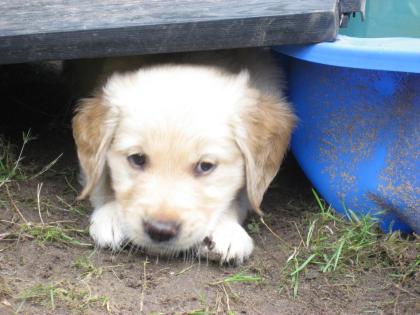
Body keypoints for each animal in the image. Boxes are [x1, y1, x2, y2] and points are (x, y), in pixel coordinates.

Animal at [71, 49, 296, 266]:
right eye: (137, 159)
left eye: (205, 166)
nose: (160, 230)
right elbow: (97, 178)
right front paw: (111, 215)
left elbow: (245, 195)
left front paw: (226, 229)